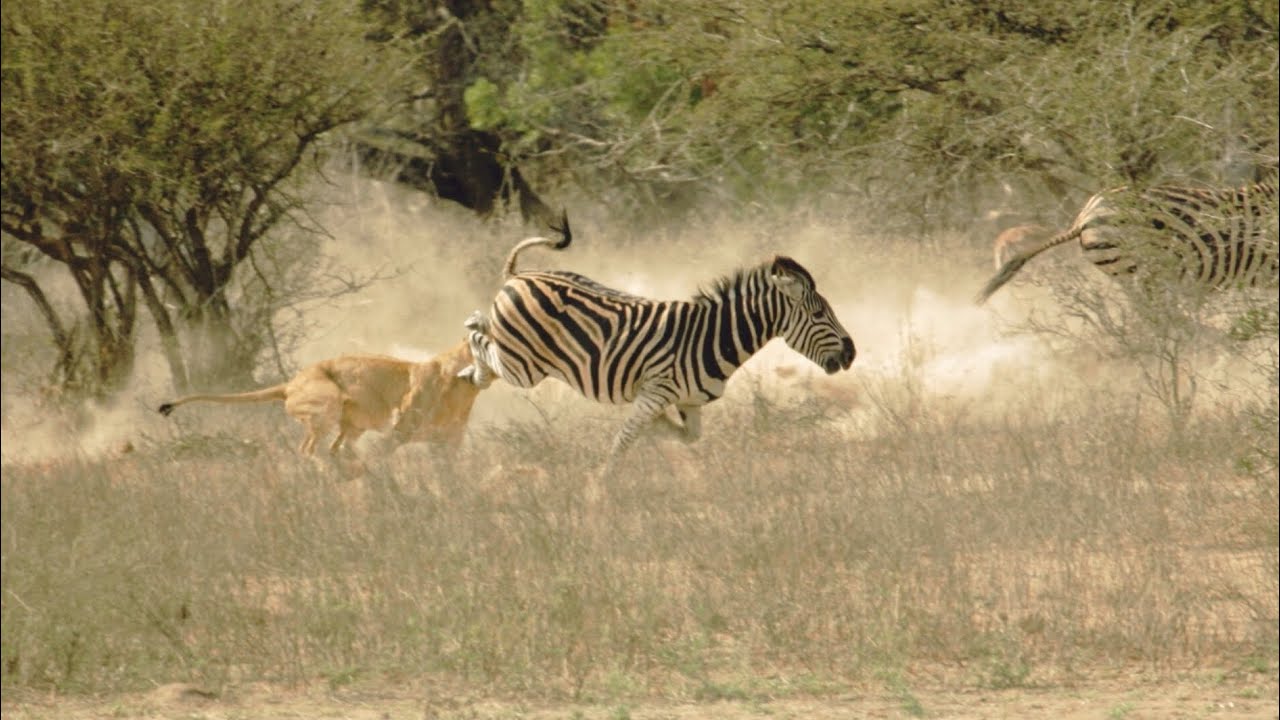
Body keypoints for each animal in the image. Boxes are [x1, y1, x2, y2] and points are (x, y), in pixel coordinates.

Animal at [157, 339, 484, 459]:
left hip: (351, 424)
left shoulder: (450, 440)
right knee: (309, 448)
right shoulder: (401, 427)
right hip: (327, 405)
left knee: (336, 447)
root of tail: (290, 384)